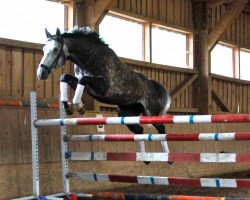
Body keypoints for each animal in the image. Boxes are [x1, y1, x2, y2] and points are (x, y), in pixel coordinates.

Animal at [36, 27, 172, 162]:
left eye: (55, 49)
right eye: (44, 49)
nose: (41, 73)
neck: (89, 59)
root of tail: (151, 83)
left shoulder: (103, 88)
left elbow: (83, 79)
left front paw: (79, 106)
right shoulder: (85, 86)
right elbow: (65, 77)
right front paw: (68, 106)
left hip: (150, 113)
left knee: (161, 128)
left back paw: (168, 157)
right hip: (125, 114)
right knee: (139, 130)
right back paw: (145, 158)